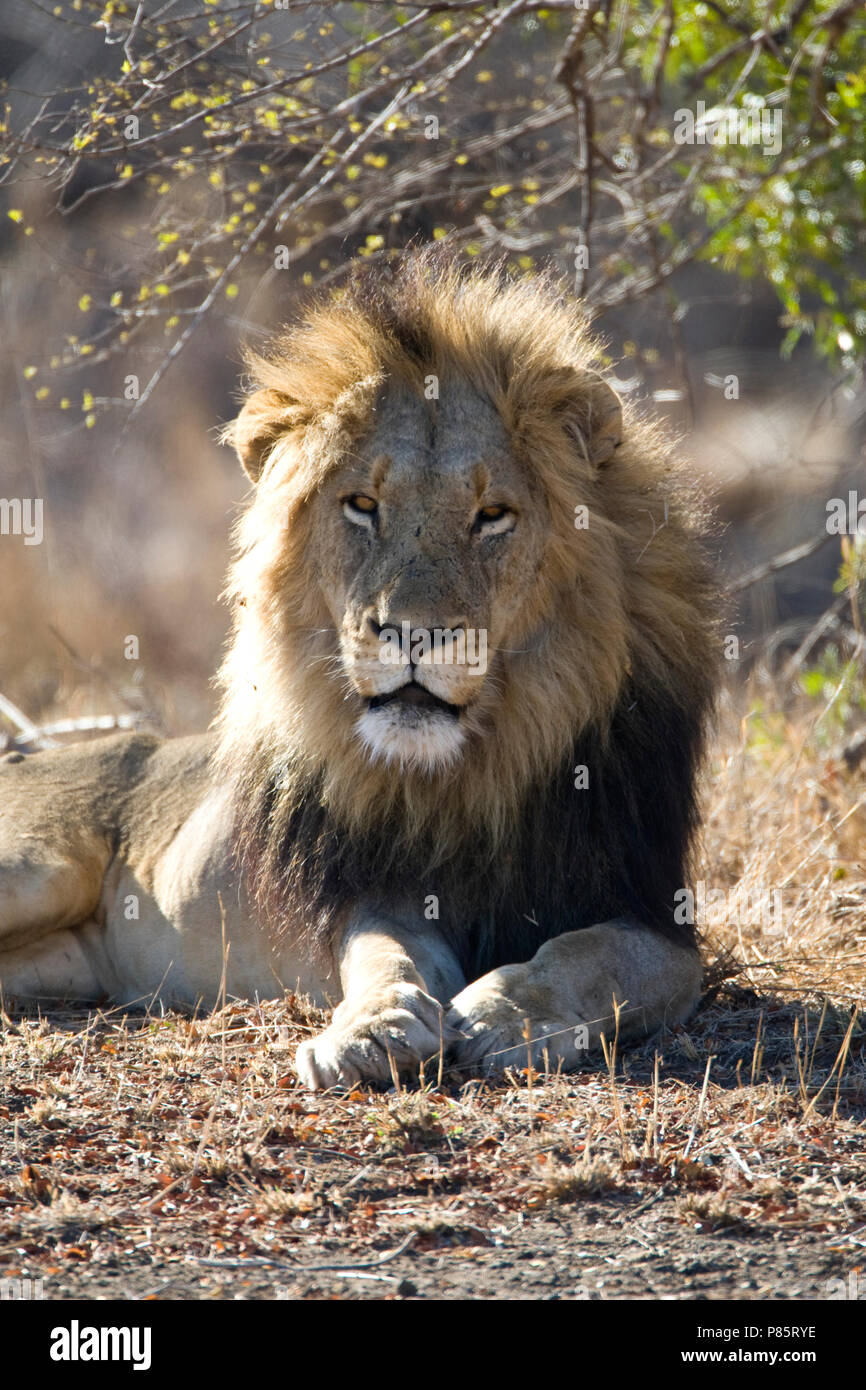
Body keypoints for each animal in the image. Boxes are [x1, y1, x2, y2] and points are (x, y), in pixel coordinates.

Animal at [0, 249, 716, 1088]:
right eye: (362, 505)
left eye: (492, 516)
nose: (411, 633)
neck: (473, 770)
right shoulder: (376, 892)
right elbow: (384, 956)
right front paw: (373, 1030)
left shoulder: (655, 914)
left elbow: (593, 956)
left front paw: (510, 1012)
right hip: (38, 866)